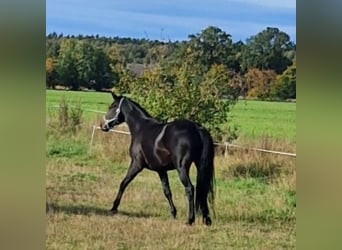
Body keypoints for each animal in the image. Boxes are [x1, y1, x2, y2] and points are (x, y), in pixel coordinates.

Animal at [100, 93, 215, 226]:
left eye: (112, 106)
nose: (102, 125)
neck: (141, 128)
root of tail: (198, 129)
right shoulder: (161, 170)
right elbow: (167, 191)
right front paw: (173, 213)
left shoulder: (136, 164)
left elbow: (124, 183)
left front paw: (114, 207)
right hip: (200, 165)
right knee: (203, 190)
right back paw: (207, 220)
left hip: (182, 168)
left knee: (190, 189)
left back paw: (190, 220)